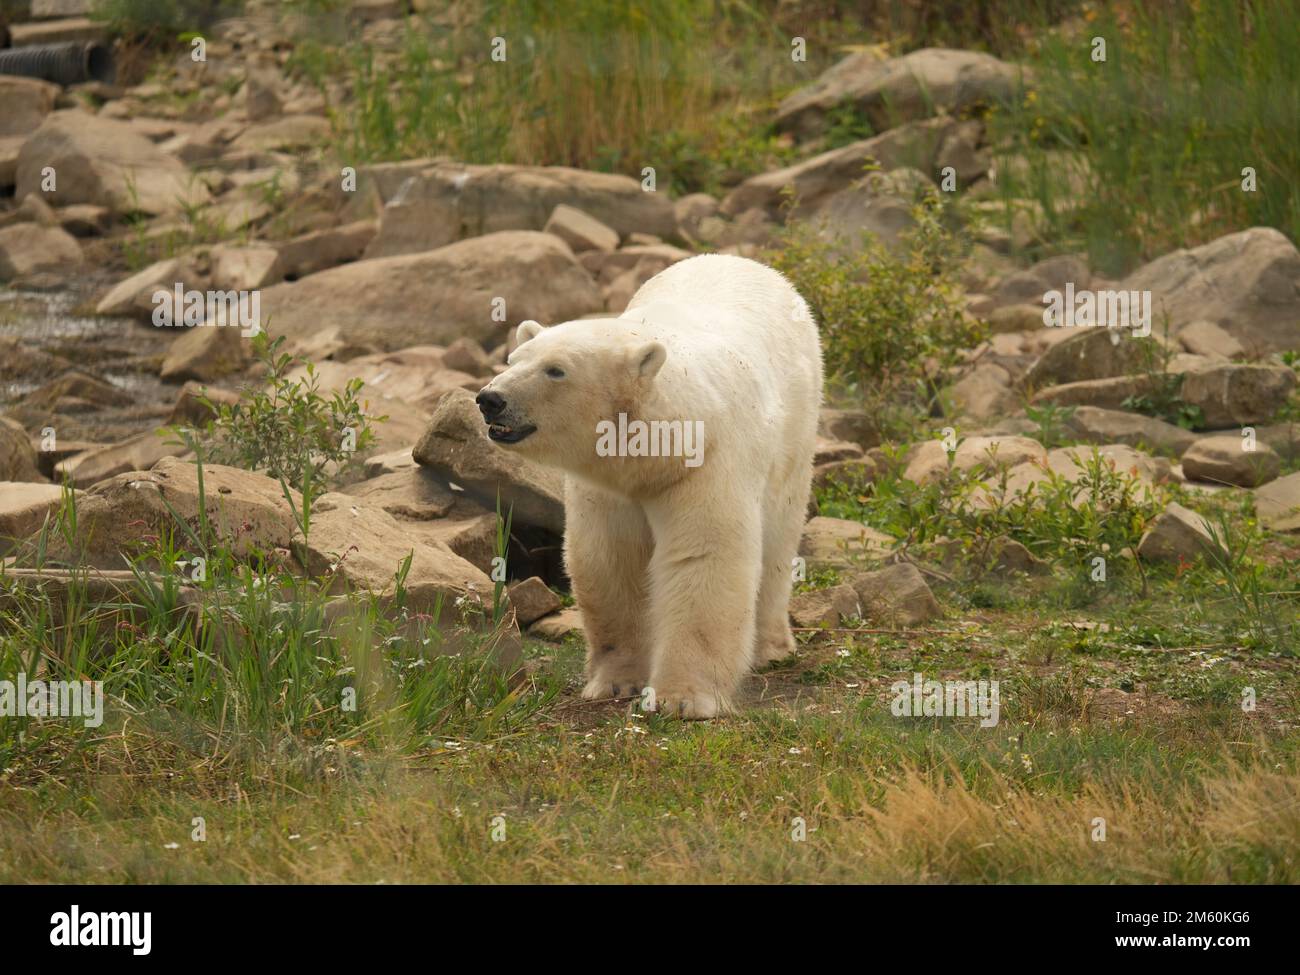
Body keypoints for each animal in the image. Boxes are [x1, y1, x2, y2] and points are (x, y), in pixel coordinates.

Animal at [476, 253, 823, 718]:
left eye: (556, 370)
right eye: (514, 358)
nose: (489, 399)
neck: (657, 450)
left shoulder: (707, 463)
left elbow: (705, 555)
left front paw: (683, 698)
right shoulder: (607, 485)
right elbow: (611, 560)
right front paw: (615, 681)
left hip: (796, 427)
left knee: (780, 536)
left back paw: (770, 646)